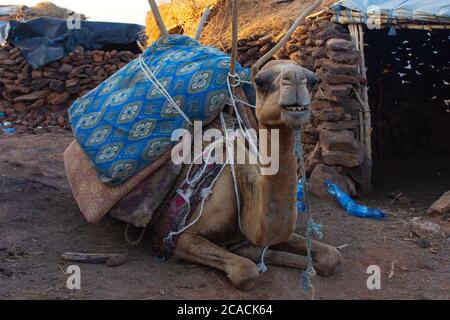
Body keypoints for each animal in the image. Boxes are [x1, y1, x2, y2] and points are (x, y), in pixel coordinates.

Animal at [148, 0, 342, 290]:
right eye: (259, 82)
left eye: (314, 80)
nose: (295, 79)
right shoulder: (181, 237)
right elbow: (245, 271)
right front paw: (250, 255)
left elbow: (332, 257)